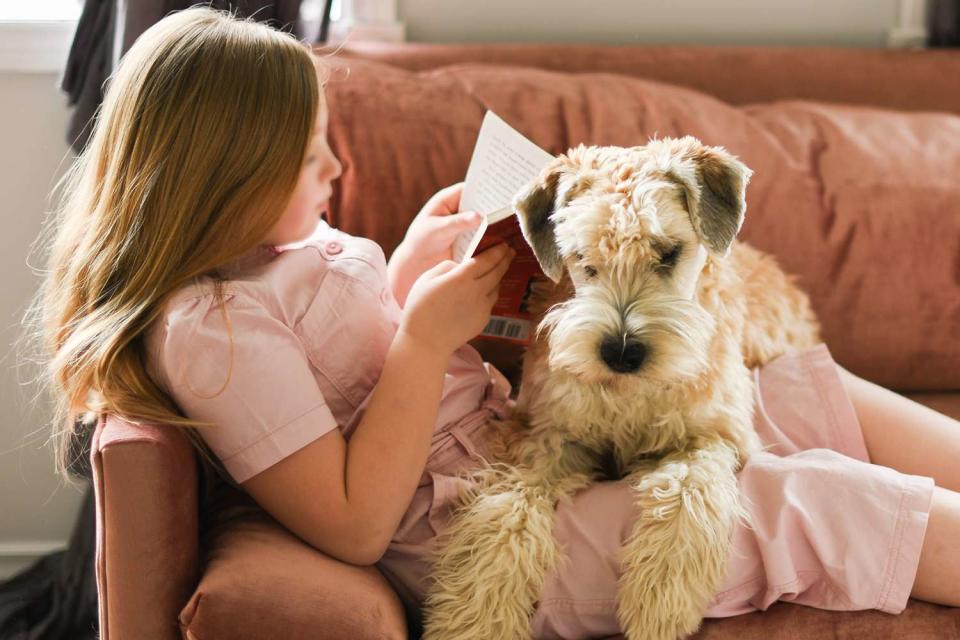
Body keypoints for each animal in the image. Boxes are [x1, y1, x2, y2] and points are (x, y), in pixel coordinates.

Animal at [424, 136, 820, 640]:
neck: (628, 394)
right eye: (582, 258)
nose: (621, 352)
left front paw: (660, 601)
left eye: (668, 252)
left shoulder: (715, 436)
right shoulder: (546, 439)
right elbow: (505, 512)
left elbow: (686, 492)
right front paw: (476, 616)